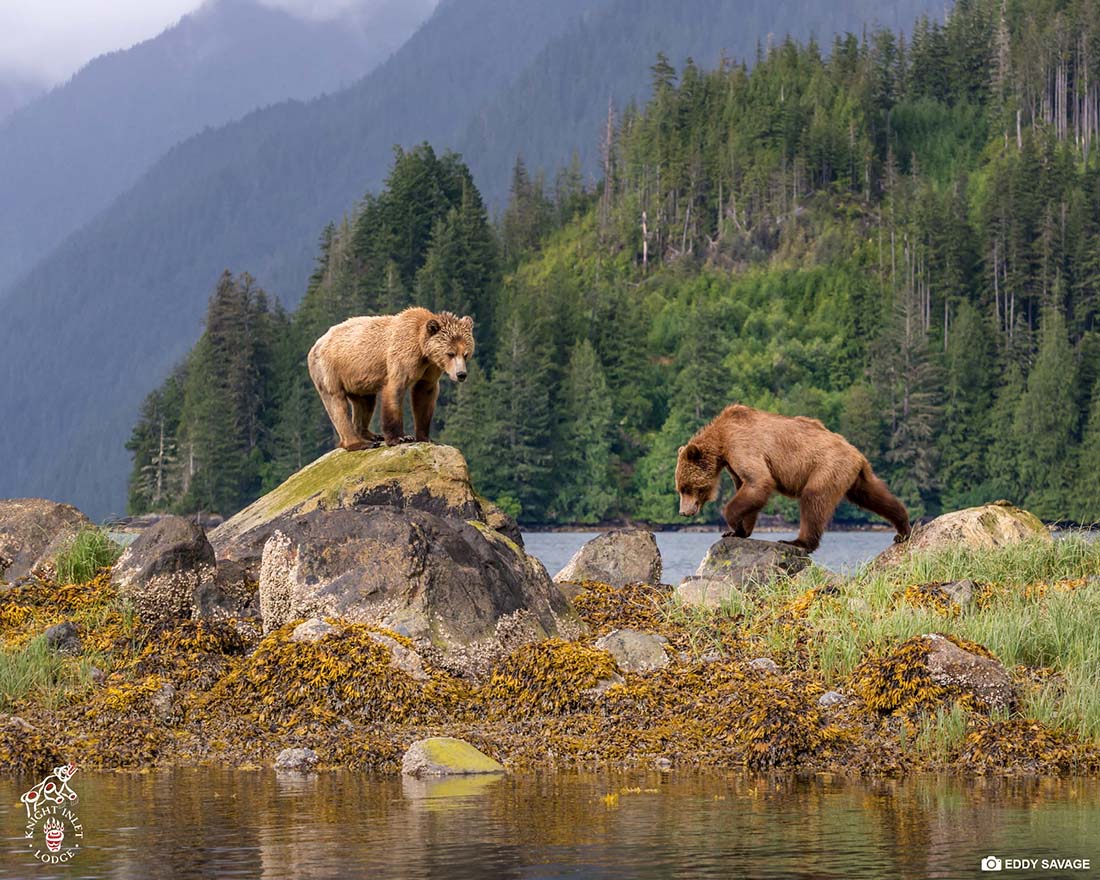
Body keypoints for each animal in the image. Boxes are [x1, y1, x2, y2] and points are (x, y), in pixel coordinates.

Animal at [308, 307, 474, 449]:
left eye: (466, 354)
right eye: (450, 353)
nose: (461, 374)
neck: (423, 350)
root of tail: (316, 343)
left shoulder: (430, 368)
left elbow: (424, 395)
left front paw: (425, 437)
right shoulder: (403, 356)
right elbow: (395, 390)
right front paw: (400, 438)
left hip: (358, 380)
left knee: (365, 402)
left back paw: (372, 435)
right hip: (330, 370)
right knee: (337, 404)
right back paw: (358, 443)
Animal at [675, 404, 911, 553]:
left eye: (686, 487)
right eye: (680, 488)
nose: (683, 512)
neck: (721, 440)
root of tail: (857, 453)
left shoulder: (741, 446)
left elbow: (759, 481)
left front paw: (732, 523)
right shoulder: (733, 463)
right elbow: (748, 488)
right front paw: (737, 532)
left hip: (826, 466)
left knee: (813, 500)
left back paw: (797, 541)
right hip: (853, 475)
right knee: (873, 496)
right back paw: (903, 528)